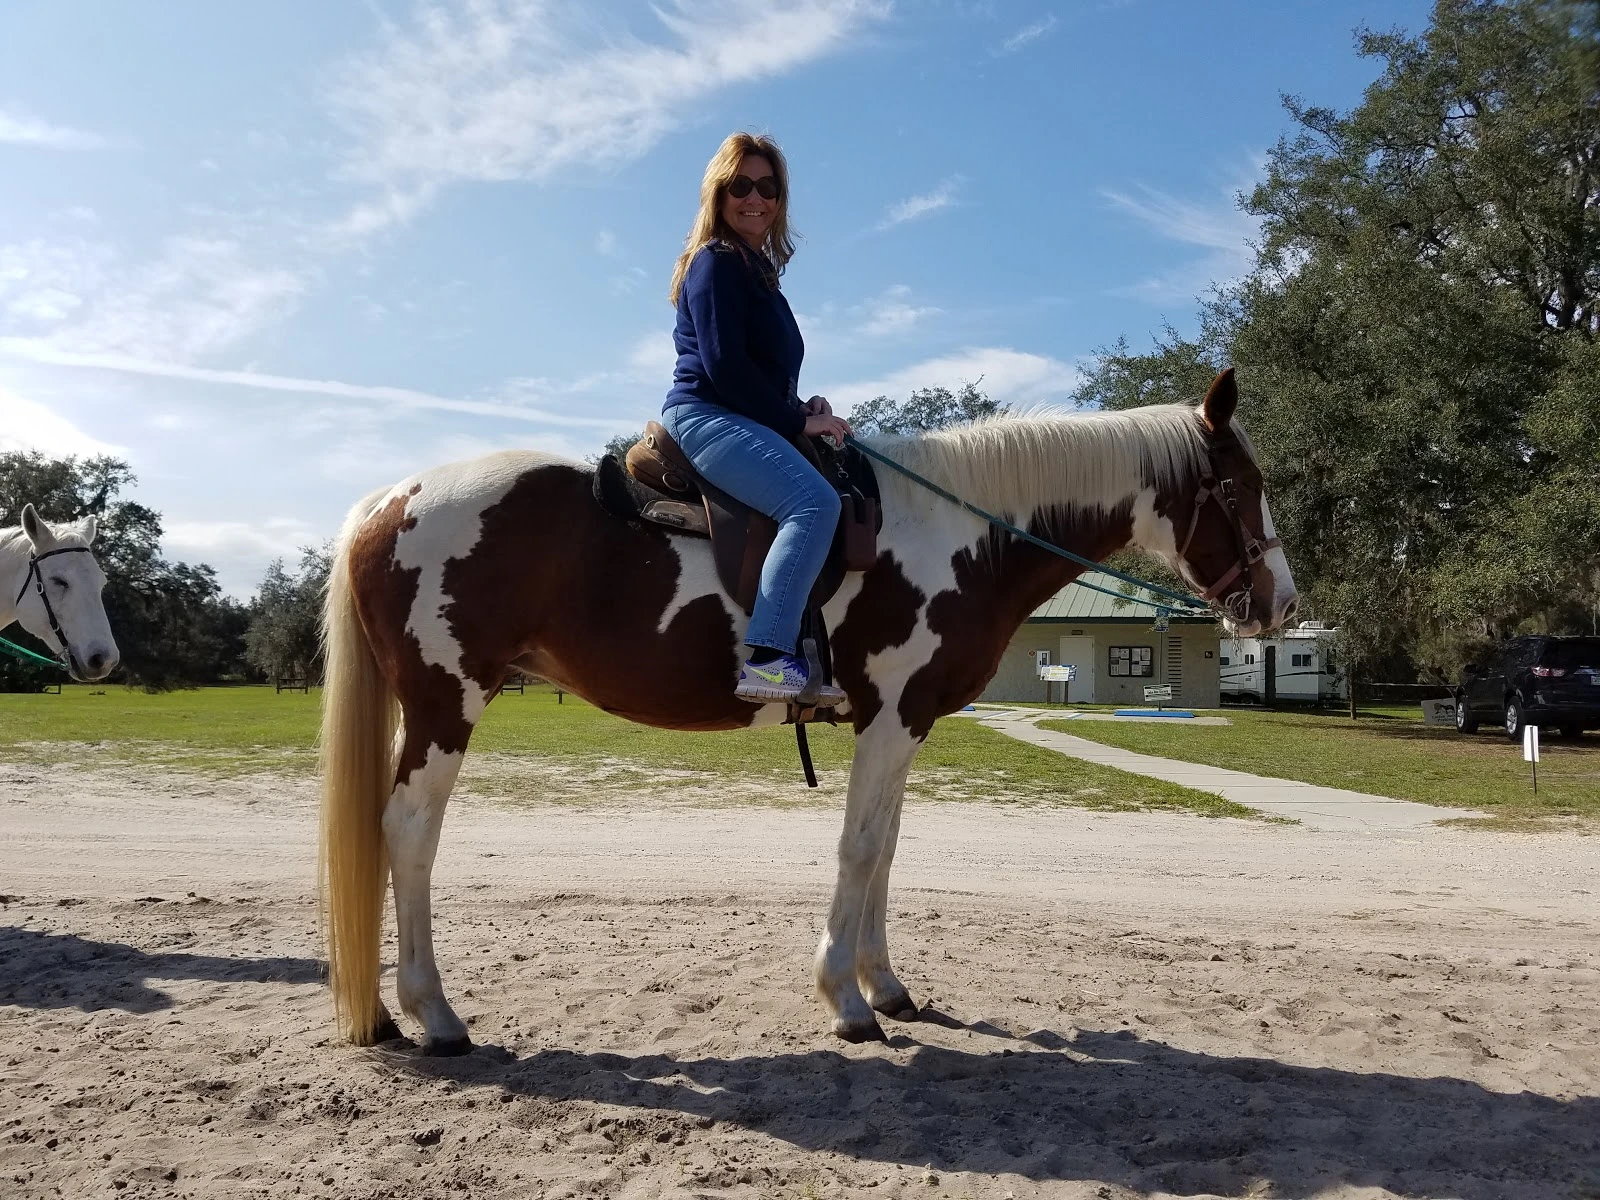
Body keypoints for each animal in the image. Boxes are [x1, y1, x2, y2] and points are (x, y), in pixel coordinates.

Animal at [319, 367, 1298, 1054]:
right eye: (1241, 486)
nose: (1282, 603)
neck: (962, 535)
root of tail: (387, 502)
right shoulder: (892, 715)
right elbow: (859, 848)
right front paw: (848, 1001)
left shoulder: (905, 722)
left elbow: (887, 850)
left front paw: (887, 983)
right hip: (446, 704)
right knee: (409, 832)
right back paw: (437, 1014)